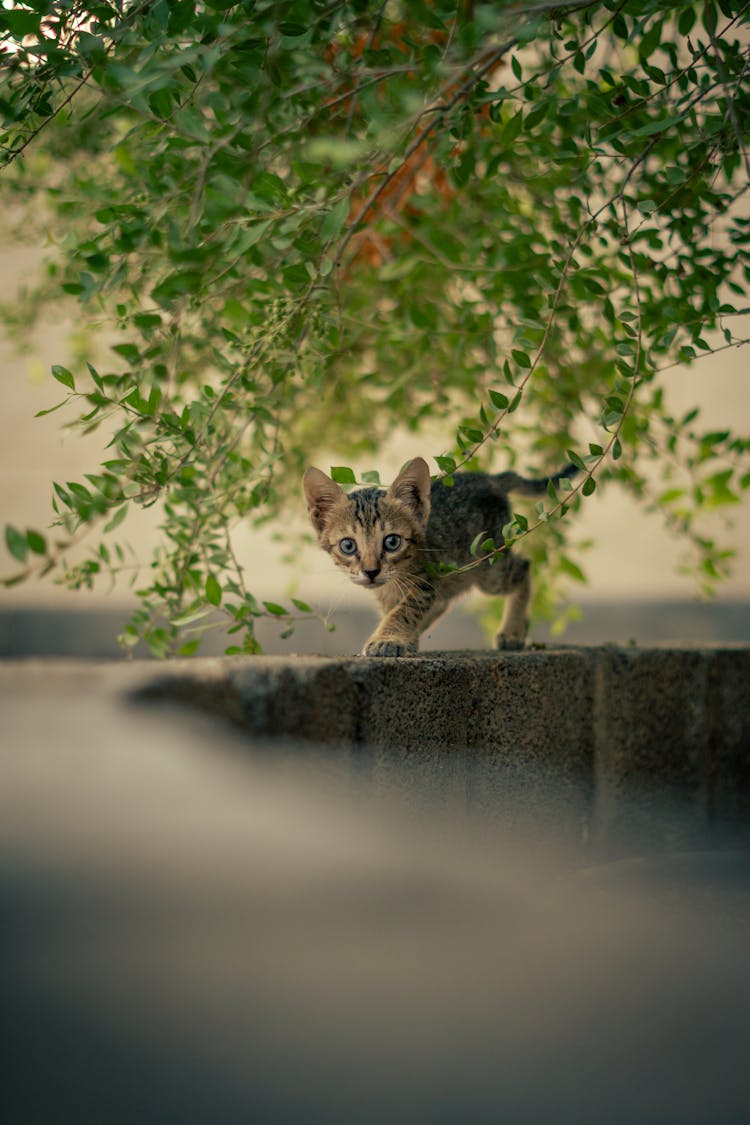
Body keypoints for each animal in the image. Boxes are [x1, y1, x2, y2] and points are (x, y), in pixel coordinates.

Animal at [301, 452, 580, 657]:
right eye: (348, 546)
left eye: (392, 542)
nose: (371, 571)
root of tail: (489, 477)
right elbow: (398, 610)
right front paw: (402, 639)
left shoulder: (426, 581)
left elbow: (404, 610)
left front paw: (387, 639)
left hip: (489, 568)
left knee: (523, 565)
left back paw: (513, 631)